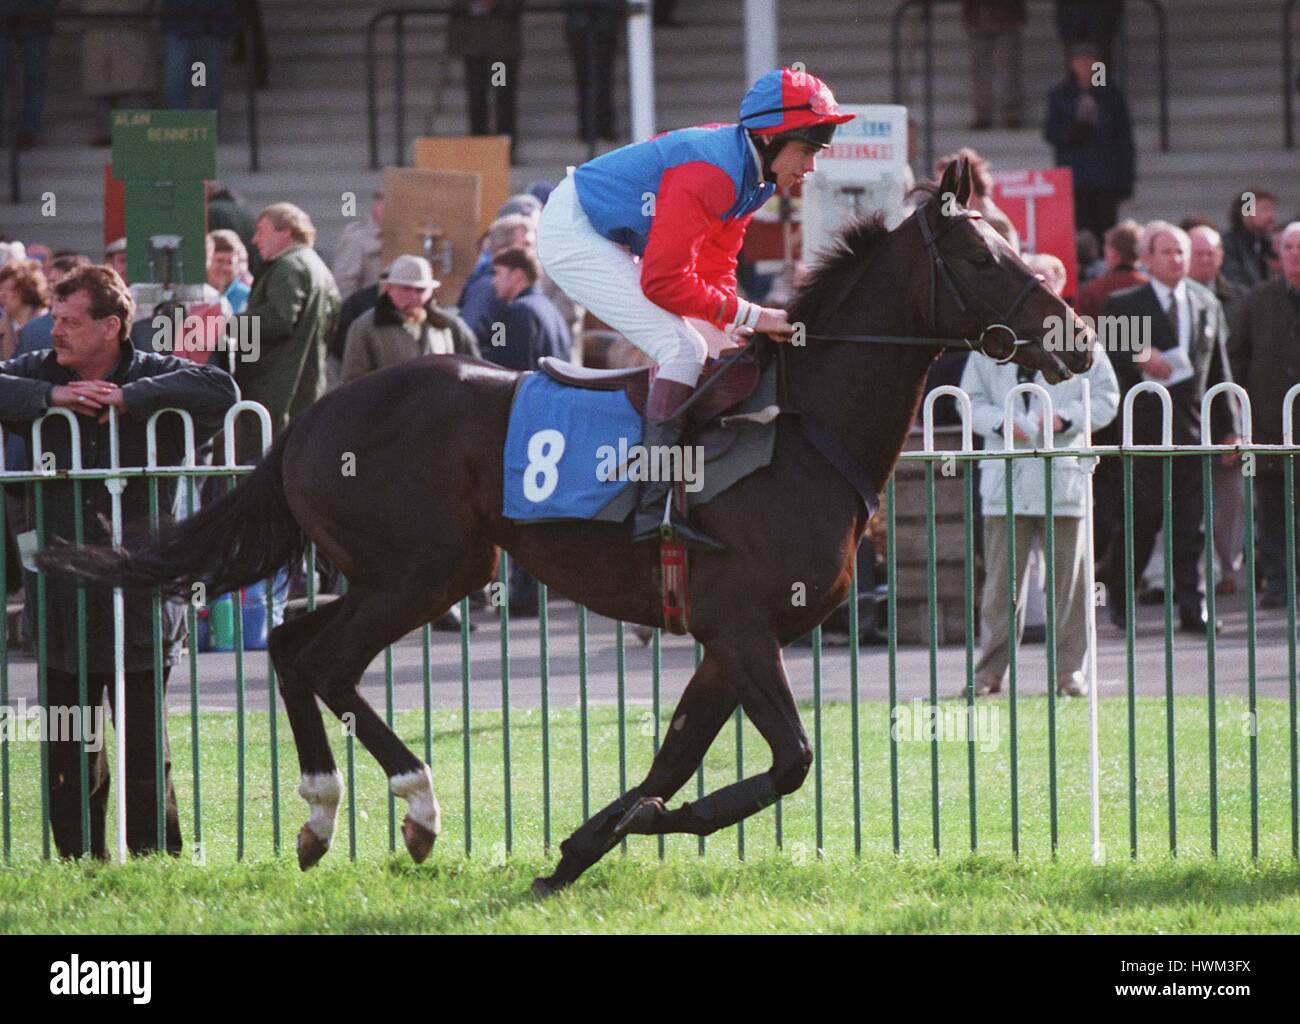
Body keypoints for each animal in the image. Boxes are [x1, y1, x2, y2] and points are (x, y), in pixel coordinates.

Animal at [38, 157, 1086, 888]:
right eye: (984, 255)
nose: (1076, 340)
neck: (806, 430)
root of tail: (310, 416)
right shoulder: (744, 626)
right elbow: (786, 763)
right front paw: (616, 830)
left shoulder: (725, 638)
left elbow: (675, 761)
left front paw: (582, 845)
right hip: (424, 571)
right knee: (325, 662)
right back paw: (416, 807)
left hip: (411, 572)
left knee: (294, 648)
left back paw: (321, 815)